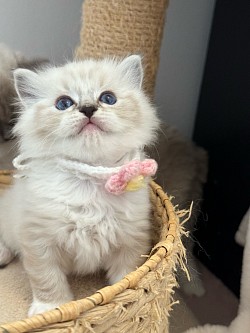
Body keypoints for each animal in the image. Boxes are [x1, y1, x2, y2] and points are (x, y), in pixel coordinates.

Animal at [0, 55, 159, 316]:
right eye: (63, 103)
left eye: (108, 98)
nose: (87, 108)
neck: (87, 180)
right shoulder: (38, 242)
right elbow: (47, 280)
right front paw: (49, 309)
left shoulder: (131, 240)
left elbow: (128, 277)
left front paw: (127, 301)